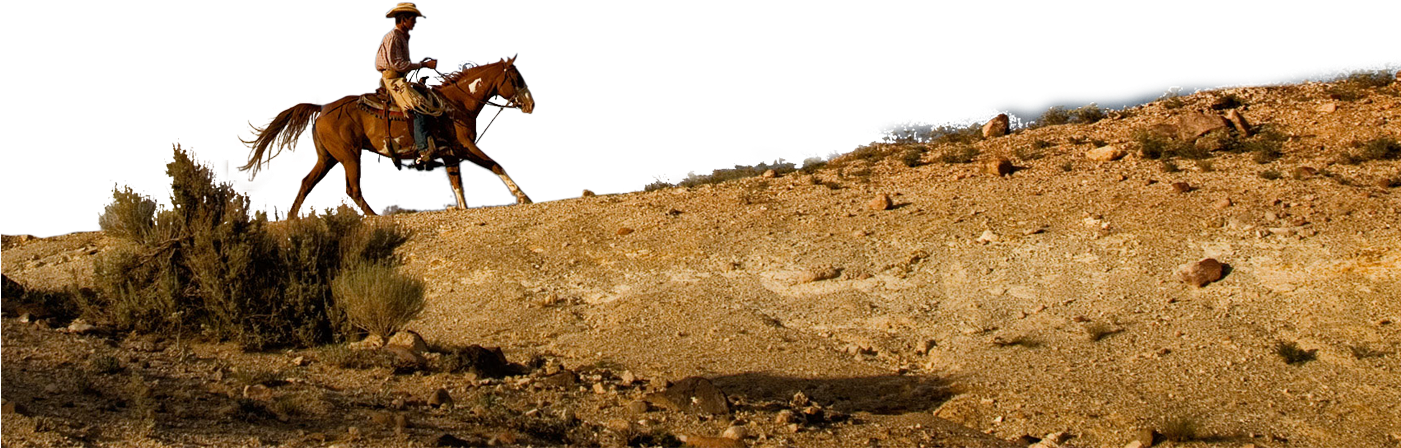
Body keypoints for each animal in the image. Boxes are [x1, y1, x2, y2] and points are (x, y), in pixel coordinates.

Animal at [235, 55, 536, 215]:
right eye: (517, 79)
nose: (531, 105)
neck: (455, 103)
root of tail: (323, 108)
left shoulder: (451, 154)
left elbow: (458, 185)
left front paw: (462, 208)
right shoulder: (464, 147)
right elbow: (496, 164)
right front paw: (522, 196)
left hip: (328, 158)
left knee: (306, 183)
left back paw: (292, 219)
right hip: (349, 155)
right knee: (353, 189)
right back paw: (374, 217)